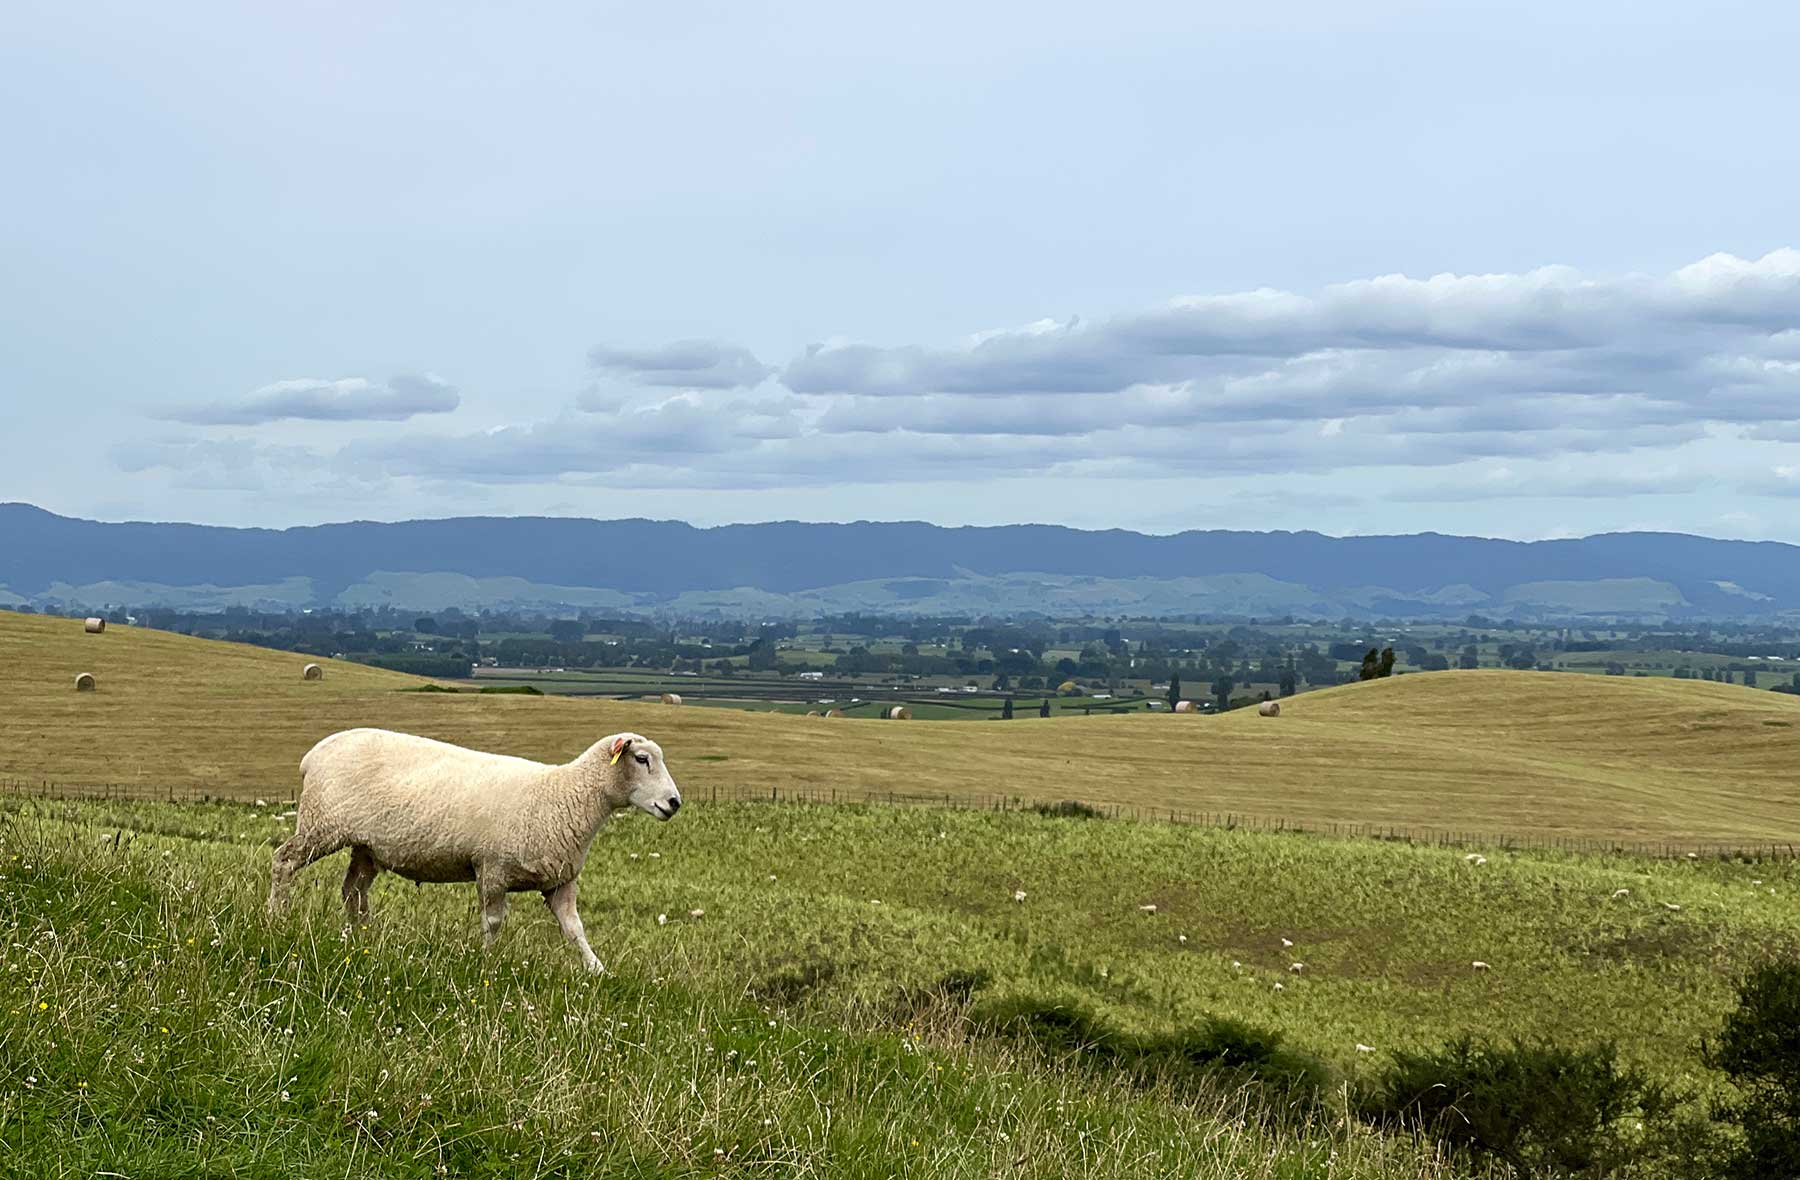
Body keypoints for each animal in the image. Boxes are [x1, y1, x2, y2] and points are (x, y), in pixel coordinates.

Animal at [266, 726, 680, 978]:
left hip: (366, 846)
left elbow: (574, 929)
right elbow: (493, 922)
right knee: (283, 861)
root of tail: (315, 753)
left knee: (353, 890)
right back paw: (277, 917)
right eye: (641, 759)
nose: (674, 803)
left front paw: (597, 970)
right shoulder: (492, 868)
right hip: (322, 825)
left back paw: (361, 938)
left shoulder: (560, 882)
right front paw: (487, 961)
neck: (564, 795)